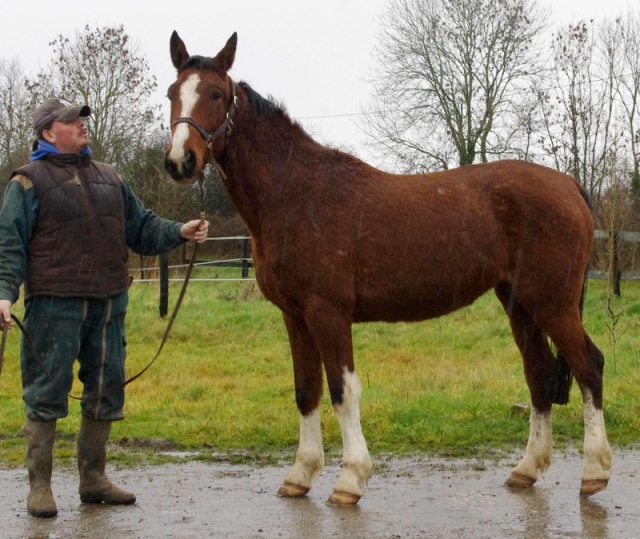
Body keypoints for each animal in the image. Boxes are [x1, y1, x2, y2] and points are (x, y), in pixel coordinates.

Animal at [162, 32, 612, 506]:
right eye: (173, 93)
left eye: (216, 93)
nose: (180, 161)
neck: (296, 194)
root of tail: (569, 185)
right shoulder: (295, 316)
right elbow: (306, 391)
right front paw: (300, 476)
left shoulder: (328, 312)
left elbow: (343, 391)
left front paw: (349, 480)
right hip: (519, 303)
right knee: (540, 374)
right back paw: (526, 469)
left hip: (553, 303)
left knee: (589, 366)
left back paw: (594, 473)